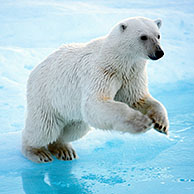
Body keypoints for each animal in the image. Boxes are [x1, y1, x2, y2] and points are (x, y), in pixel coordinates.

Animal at [22, 16, 169, 163]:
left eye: (158, 35)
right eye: (143, 37)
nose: (159, 52)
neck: (117, 59)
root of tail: (34, 71)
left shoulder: (131, 76)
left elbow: (137, 99)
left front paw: (161, 124)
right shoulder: (102, 71)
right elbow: (95, 102)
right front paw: (142, 122)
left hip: (70, 111)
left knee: (74, 128)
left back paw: (63, 149)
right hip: (45, 98)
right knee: (44, 128)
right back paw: (37, 152)